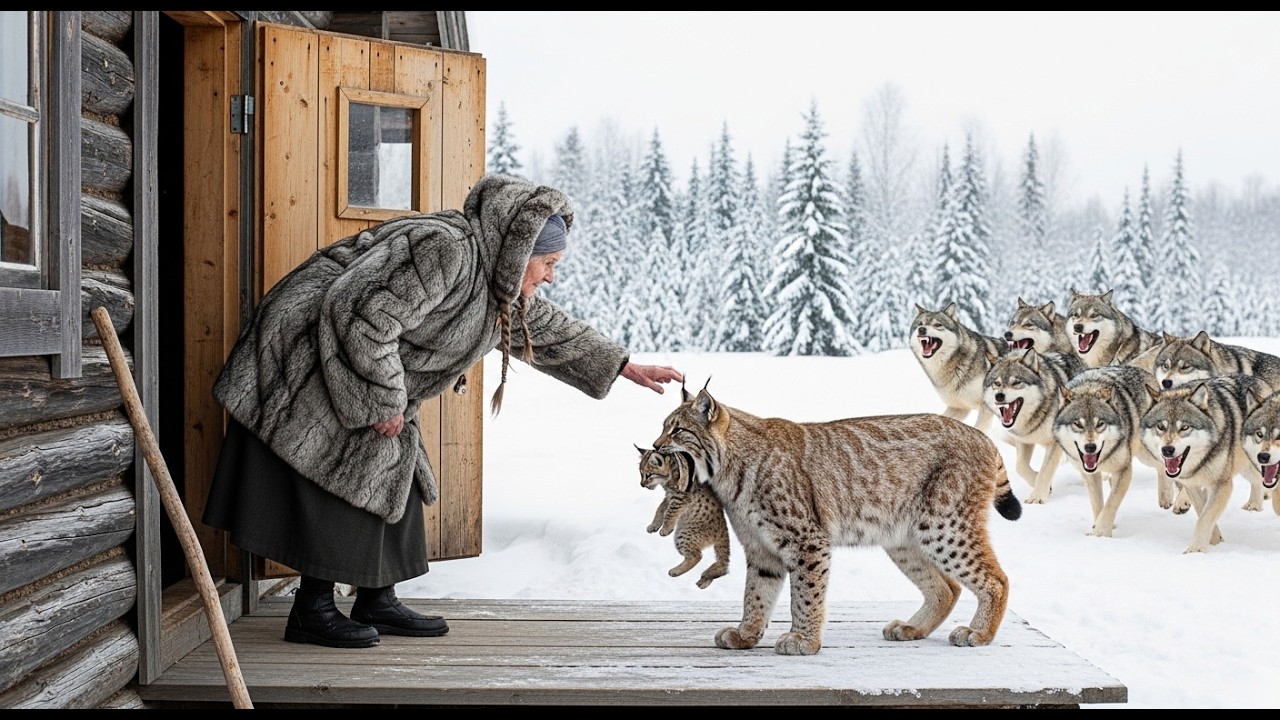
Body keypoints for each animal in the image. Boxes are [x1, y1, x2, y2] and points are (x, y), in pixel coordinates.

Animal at [910, 302, 1009, 432]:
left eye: (937, 325)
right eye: (920, 324)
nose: (921, 329)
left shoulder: (987, 407)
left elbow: (979, 429)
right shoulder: (958, 408)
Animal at [982, 348, 1085, 503]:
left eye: (1016, 382)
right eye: (997, 383)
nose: (999, 396)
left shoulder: (1055, 443)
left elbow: (1045, 471)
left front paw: (1037, 497)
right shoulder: (1024, 440)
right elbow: (1020, 466)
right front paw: (1041, 484)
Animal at [1053, 365, 1162, 537]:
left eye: (1100, 424)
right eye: (1078, 424)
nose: (1090, 447)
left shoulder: (1123, 470)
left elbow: (1111, 503)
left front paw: (1101, 532)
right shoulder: (1090, 475)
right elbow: (1098, 504)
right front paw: (1096, 529)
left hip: (1147, 453)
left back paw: (1170, 500)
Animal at [1139, 373, 1262, 553]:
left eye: (1184, 427)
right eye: (1160, 427)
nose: (1167, 450)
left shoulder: (1221, 484)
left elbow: (1204, 518)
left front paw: (1196, 550)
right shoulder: (1192, 484)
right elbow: (1202, 512)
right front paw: (1216, 540)